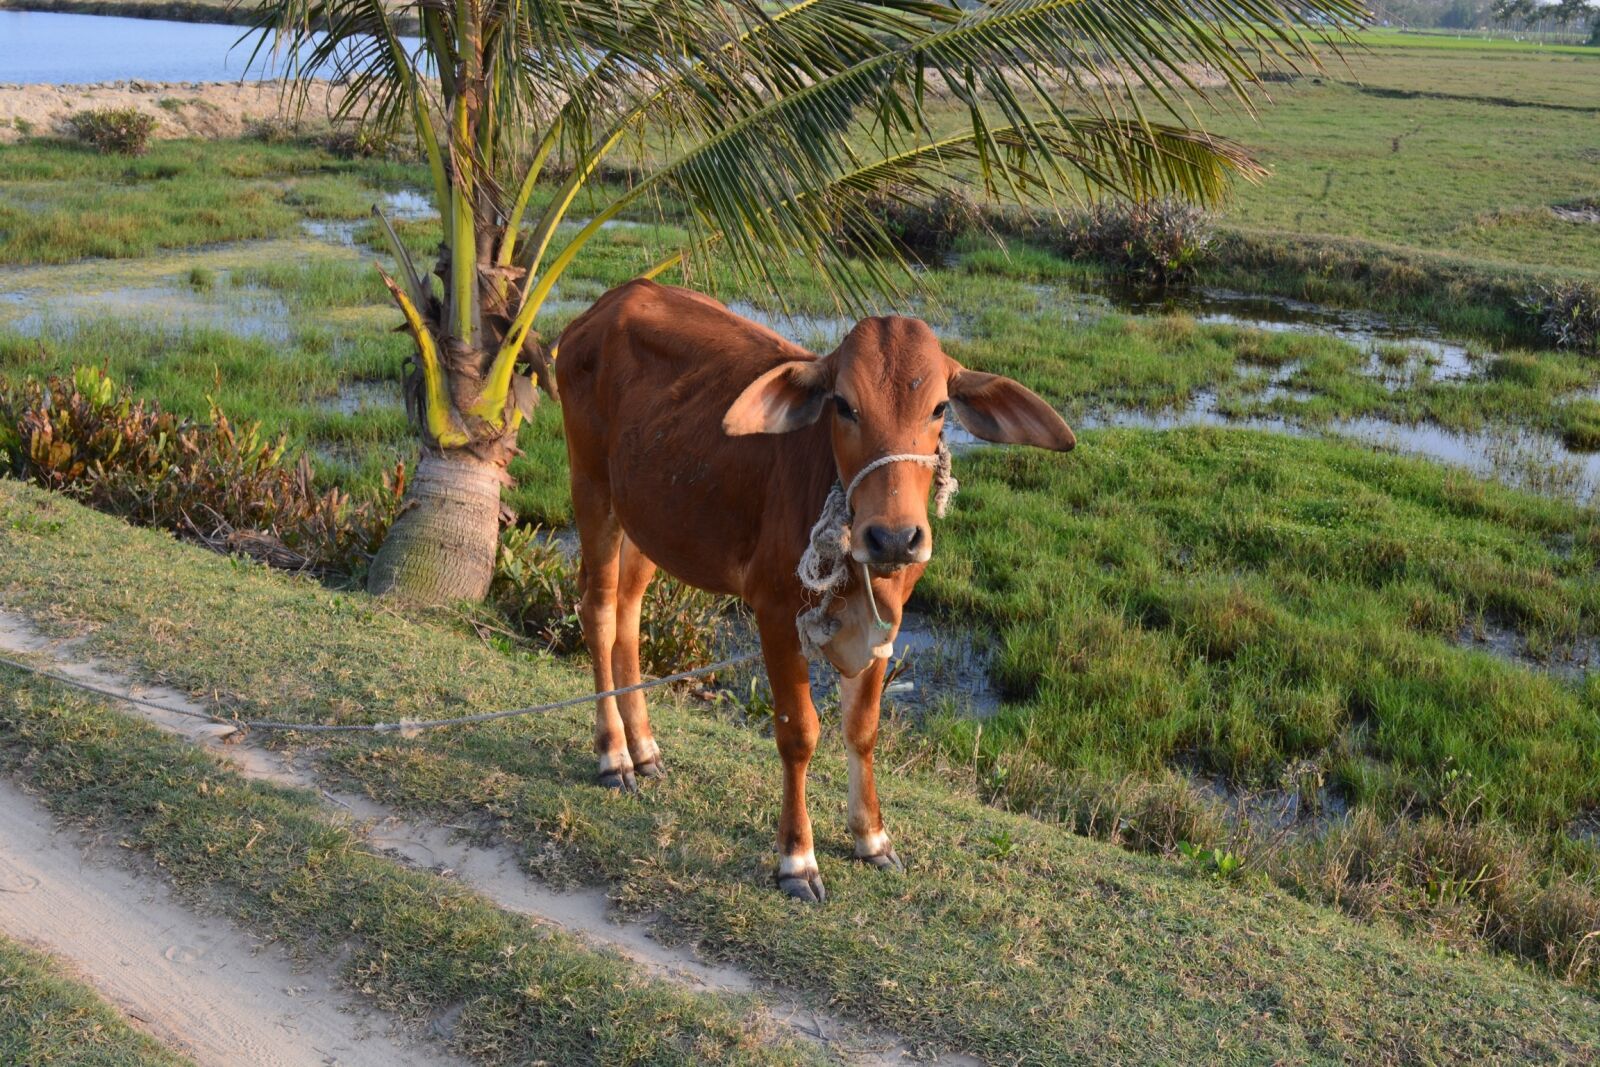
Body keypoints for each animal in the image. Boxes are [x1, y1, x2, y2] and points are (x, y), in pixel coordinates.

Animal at [556, 279, 1074, 902]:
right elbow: (799, 732)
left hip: (649, 522)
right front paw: (797, 859)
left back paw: (645, 749)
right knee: (599, 611)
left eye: (940, 407)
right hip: (592, 489)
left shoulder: (885, 623)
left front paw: (872, 838)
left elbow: (862, 729)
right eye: (844, 405)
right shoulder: (776, 614)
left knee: (629, 614)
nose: (894, 537)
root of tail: (609, 302)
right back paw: (613, 756)